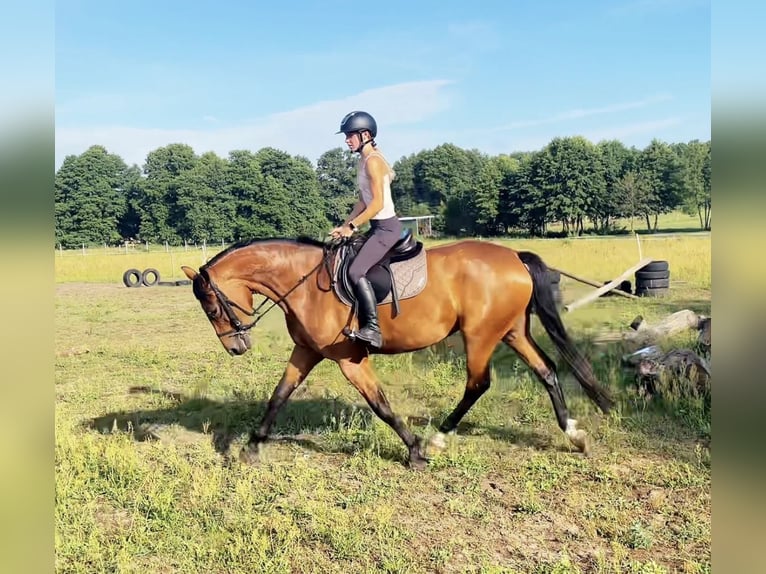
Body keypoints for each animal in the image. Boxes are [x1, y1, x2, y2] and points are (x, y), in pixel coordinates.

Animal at [180, 235, 612, 472]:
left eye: (212, 308)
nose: (236, 347)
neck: (305, 284)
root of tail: (514, 257)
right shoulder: (306, 351)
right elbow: (278, 397)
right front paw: (251, 448)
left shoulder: (349, 359)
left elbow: (381, 405)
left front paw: (416, 452)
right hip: (511, 331)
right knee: (547, 370)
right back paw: (574, 435)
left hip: (480, 335)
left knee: (478, 383)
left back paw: (437, 439)